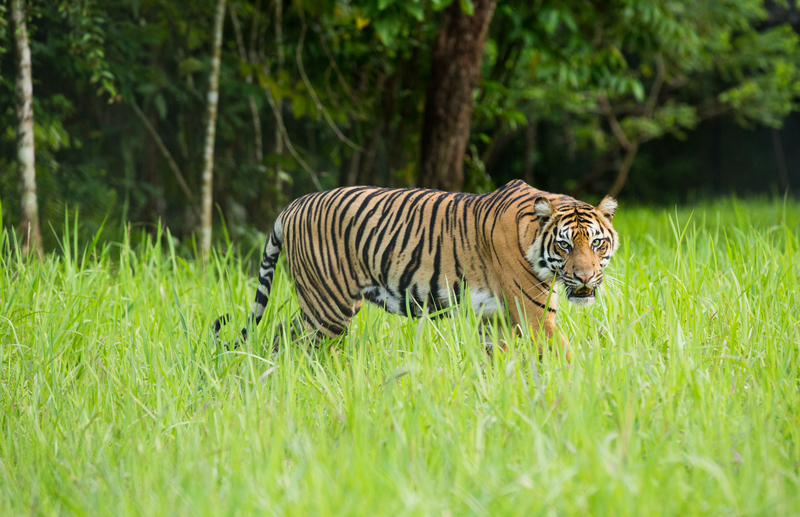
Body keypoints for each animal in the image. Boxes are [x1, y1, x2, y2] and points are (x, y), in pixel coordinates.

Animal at [212, 178, 620, 354]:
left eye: (596, 243)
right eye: (564, 245)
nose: (585, 277)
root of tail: (292, 206)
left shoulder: (495, 319)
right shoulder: (533, 315)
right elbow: (568, 358)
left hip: (322, 308)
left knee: (283, 337)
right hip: (326, 307)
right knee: (296, 343)